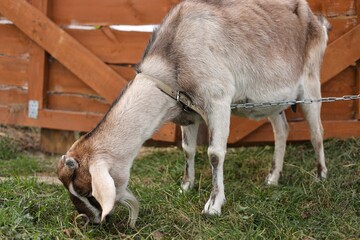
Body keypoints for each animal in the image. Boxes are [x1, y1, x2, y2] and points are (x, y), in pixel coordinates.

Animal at [57, 0, 332, 226]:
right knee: (281, 129)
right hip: (271, 100)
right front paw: (185, 186)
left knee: (317, 130)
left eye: (88, 191)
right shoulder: (188, 111)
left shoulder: (218, 100)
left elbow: (215, 154)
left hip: (311, 82)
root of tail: (317, 19)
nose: (91, 221)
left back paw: (321, 177)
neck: (174, 59)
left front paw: (213, 205)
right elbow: (188, 149)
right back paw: (273, 178)